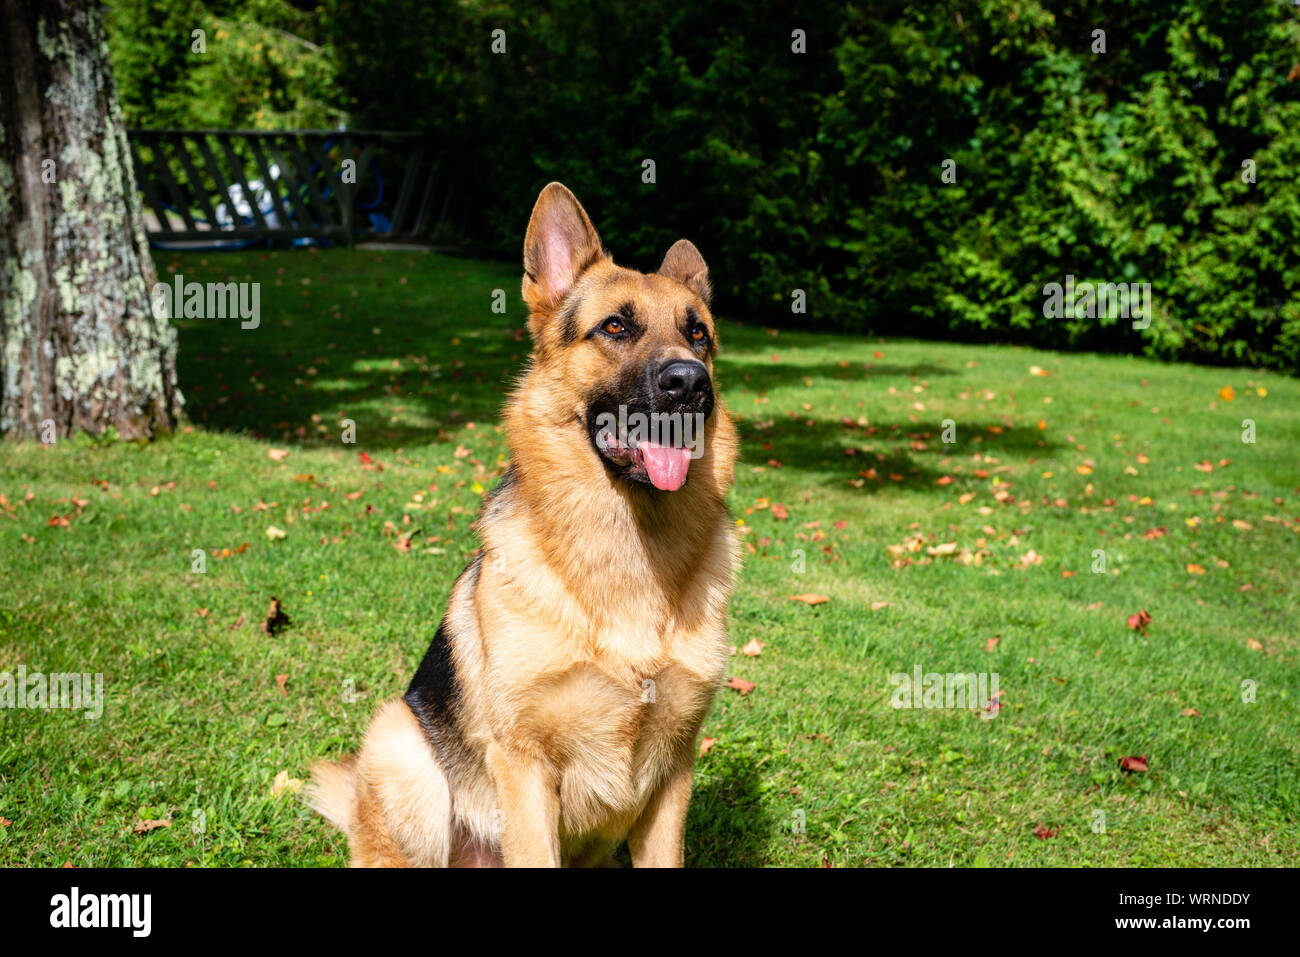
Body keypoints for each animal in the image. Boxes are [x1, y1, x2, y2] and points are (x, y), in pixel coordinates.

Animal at [309, 180, 738, 868]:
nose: (691, 383)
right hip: (401, 745)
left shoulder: (674, 771)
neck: (628, 543)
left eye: (698, 334)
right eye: (615, 326)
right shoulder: (526, 767)